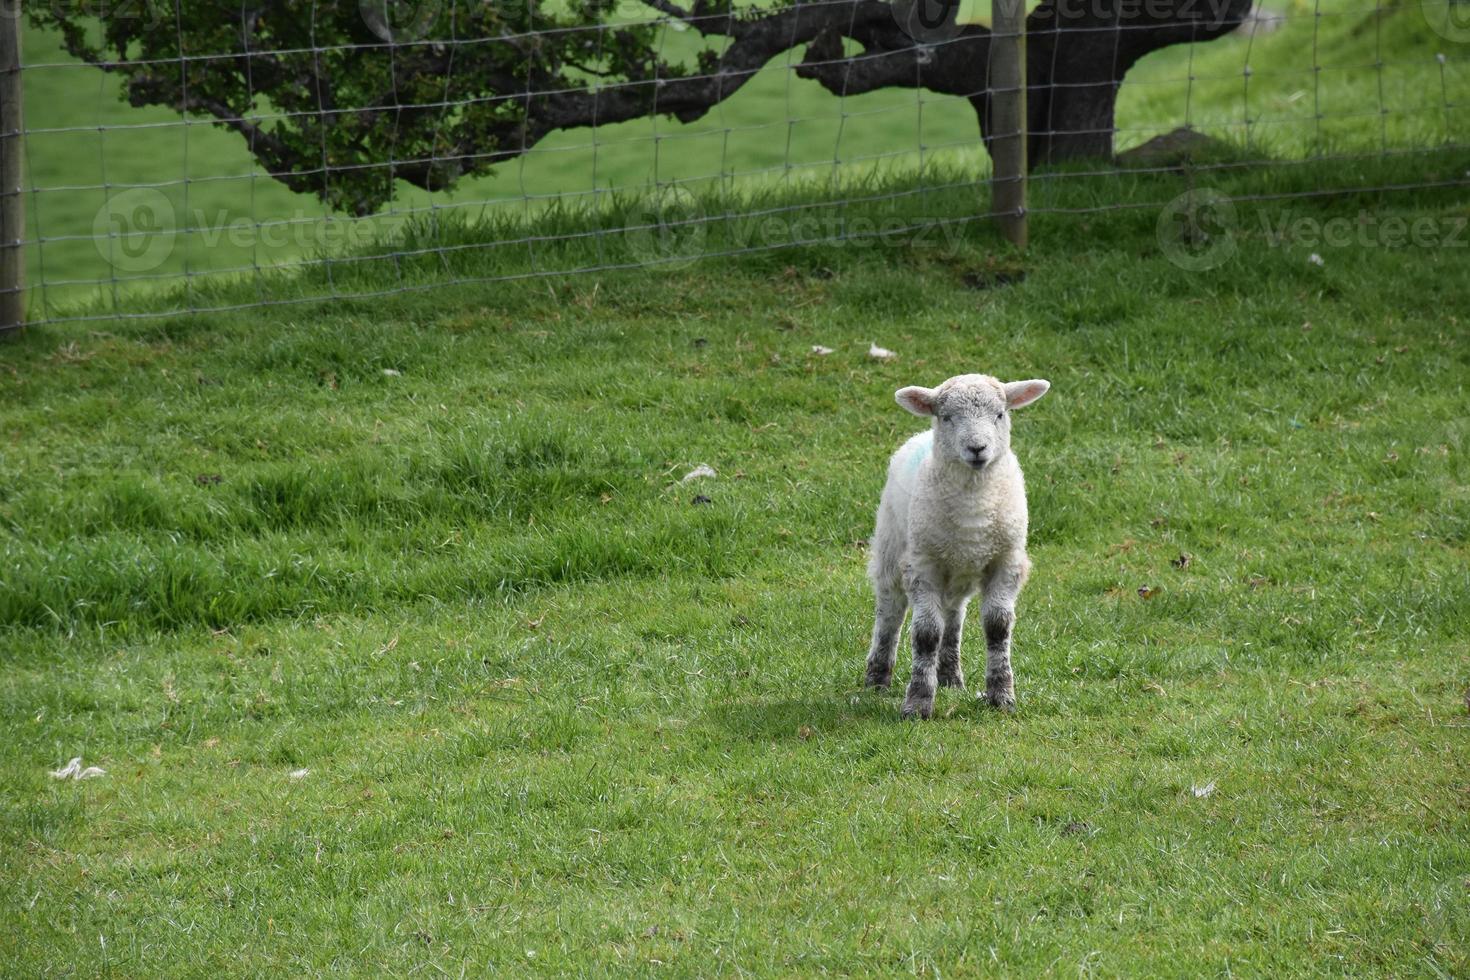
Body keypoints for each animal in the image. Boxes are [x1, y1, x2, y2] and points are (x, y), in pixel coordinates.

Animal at [864, 376, 1052, 719]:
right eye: (946, 417)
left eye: (1000, 414)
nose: (977, 448)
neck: (974, 506)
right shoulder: (923, 564)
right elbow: (926, 634)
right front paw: (918, 704)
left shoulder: (1006, 560)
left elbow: (997, 626)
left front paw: (1002, 696)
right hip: (891, 547)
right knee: (890, 611)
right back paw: (877, 678)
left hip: (957, 569)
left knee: (952, 616)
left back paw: (950, 676)